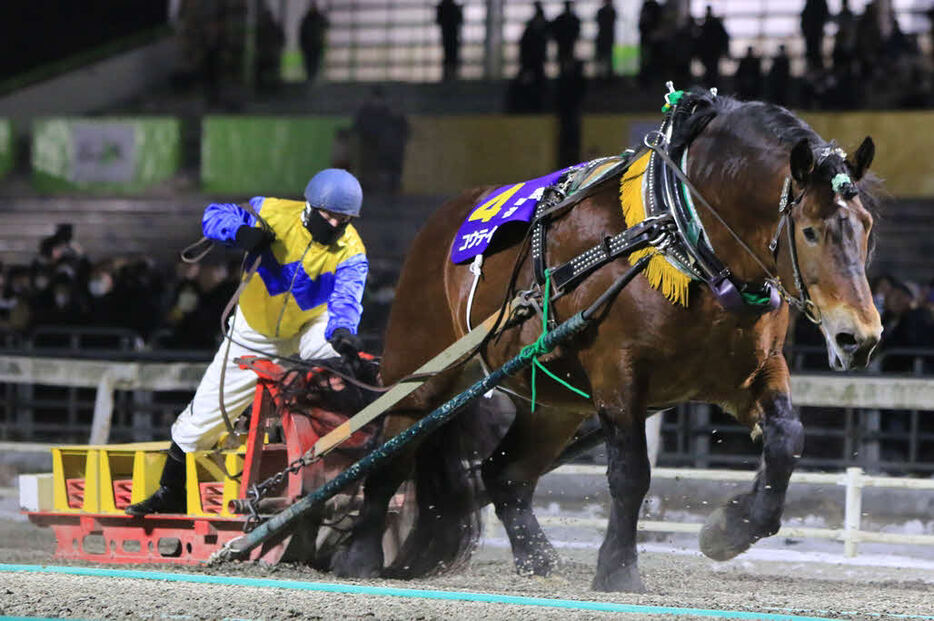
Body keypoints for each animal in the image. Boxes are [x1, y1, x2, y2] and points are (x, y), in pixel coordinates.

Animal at [334, 92, 884, 592]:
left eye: (866, 227)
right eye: (809, 231)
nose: (859, 337)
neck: (681, 235)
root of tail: (442, 220)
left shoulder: (750, 371)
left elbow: (787, 438)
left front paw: (729, 529)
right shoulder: (618, 374)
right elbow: (631, 474)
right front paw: (618, 569)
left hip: (554, 401)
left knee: (504, 474)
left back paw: (537, 559)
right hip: (422, 375)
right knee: (387, 459)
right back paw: (358, 556)